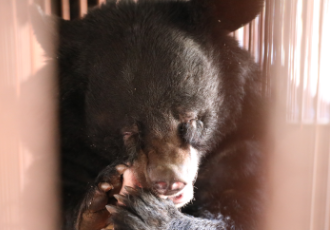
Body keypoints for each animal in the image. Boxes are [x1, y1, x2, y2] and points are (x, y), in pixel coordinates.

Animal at [33, 0, 266, 229]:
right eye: (128, 132)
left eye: (190, 120)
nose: (169, 182)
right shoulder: (68, 151)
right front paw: (95, 205)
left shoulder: (242, 151)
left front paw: (149, 214)